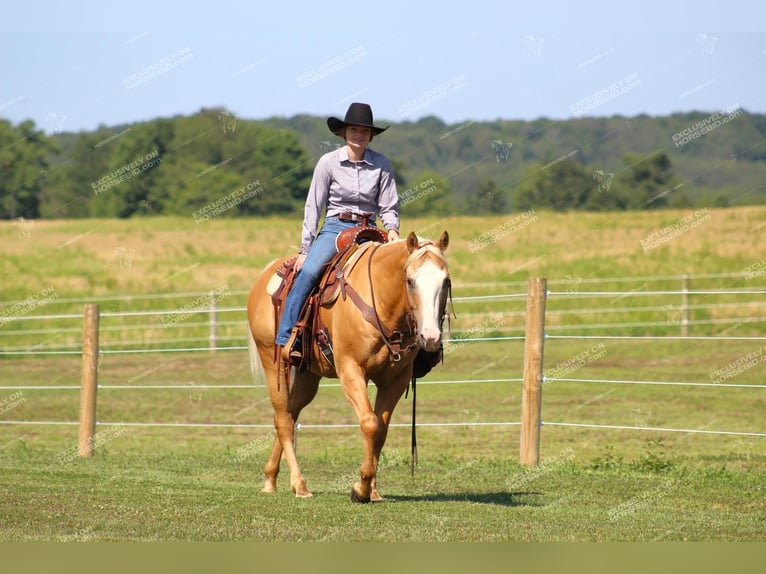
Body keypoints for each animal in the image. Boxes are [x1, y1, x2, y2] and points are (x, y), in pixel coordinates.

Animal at [246, 232, 452, 502]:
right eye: (410, 280)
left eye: (446, 281)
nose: (430, 337)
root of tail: (265, 273)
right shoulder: (351, 370)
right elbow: (369, 423)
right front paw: (361, 488)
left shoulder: (395, 380)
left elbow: (381, 429)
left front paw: (372, 490)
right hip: (273, 362)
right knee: (282, 419)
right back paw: (299, 485)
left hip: (307, 375)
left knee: (291, 415)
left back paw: (271, 478)